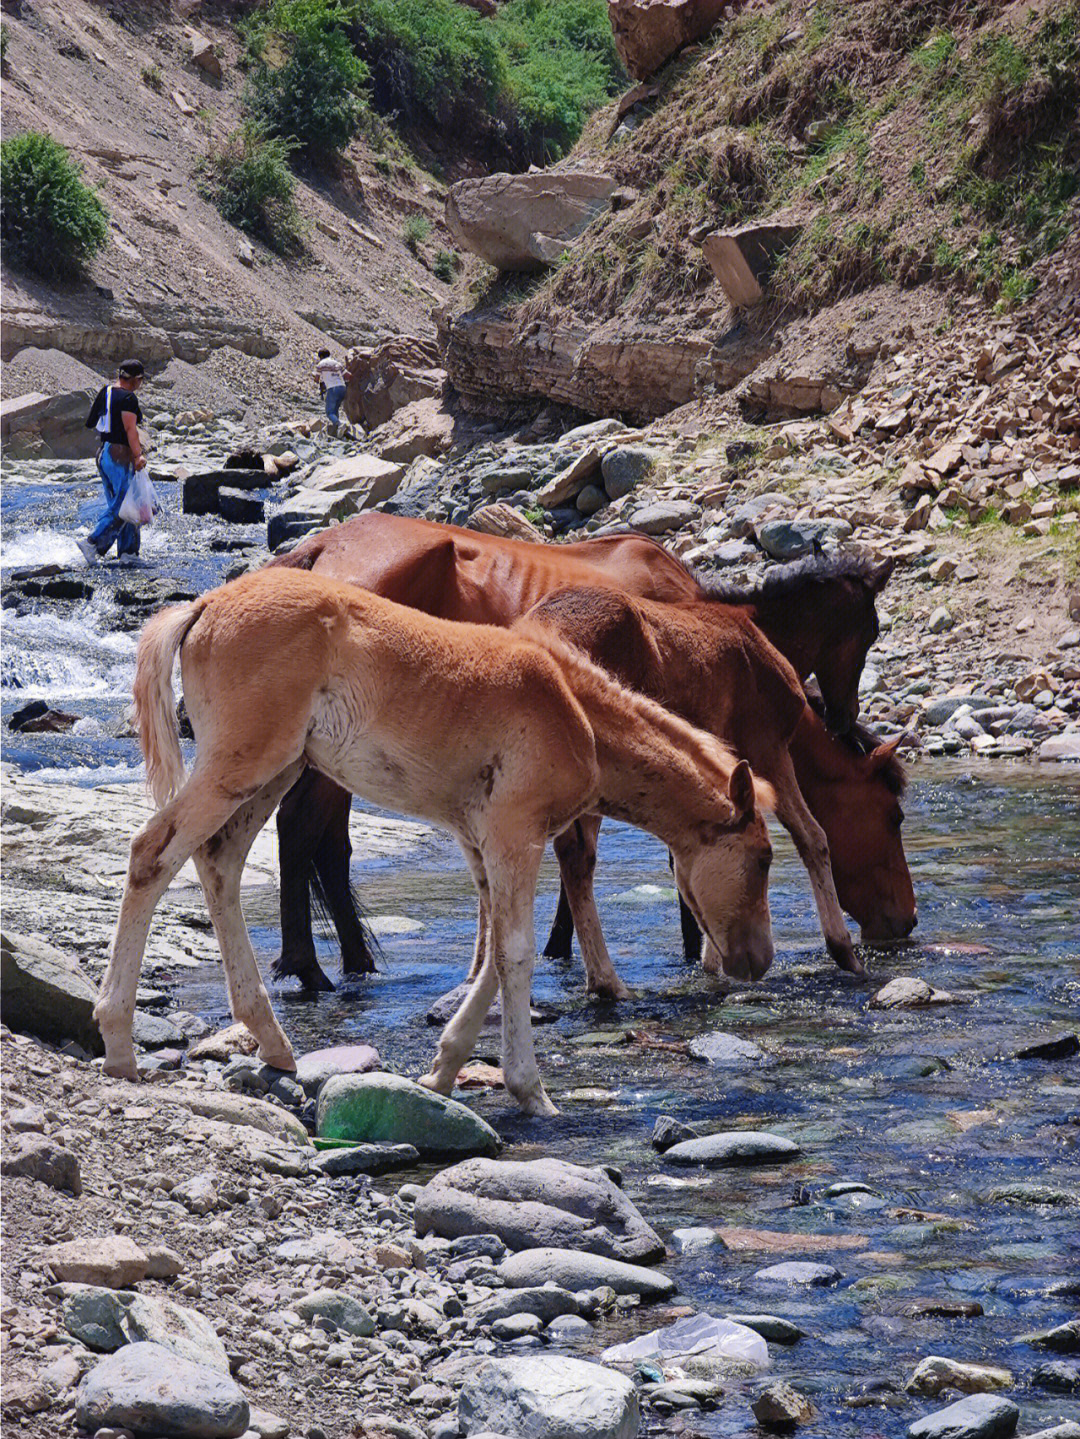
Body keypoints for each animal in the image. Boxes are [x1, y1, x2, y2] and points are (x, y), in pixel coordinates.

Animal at [97, 566, 770, 1116]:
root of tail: (204, 603)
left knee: (220, 861)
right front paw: (530, 1091)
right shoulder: (515, 835)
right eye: (762, 859)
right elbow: (515, 954)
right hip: (240, 764)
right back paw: (119, 1044)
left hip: (274, 772)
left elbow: (492, 954)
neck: (577, 714)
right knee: (151, 853)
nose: (758, 962)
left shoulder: (482, 843)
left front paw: (442, 1072)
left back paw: (273, 1042)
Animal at [264, 512, 903, 995]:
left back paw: (351, 963)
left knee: (324, 841)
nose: (903, 922)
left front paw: (562, 949)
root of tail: (317, 548)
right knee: (303, 830)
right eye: (894, 815)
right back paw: (312, 968)